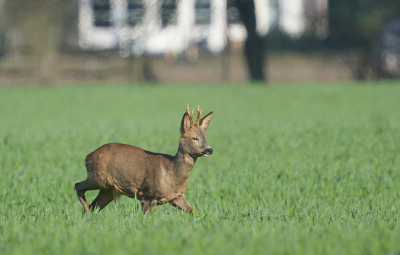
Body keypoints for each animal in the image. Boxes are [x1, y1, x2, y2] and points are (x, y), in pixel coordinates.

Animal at [74, 106, 212, 215]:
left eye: (205, 137)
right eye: (195, 138)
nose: (209, 150)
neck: (171, 172)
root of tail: (87, 156)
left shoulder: (176, 196)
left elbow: (195, 212)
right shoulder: (147, 195)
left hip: (108, 189)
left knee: (93, 205)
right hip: (98, 177)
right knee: (78, 185)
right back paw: (86, 212)